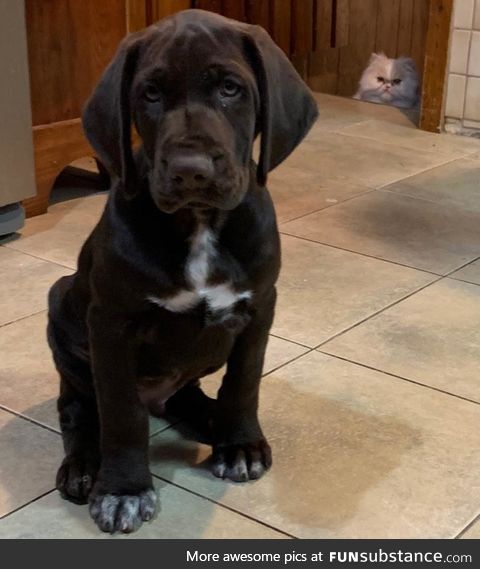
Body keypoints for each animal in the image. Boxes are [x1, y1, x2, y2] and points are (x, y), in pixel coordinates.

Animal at [47, 8, 318, 532]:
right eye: (150, 94)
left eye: (231, 88)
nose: (191, 169)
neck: (199, 223)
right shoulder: (111, 322)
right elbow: (121, 413)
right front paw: (124, 490)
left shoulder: (260, 306)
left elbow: (244, 381)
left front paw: (240, 444)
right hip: (61, 307)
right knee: (78, 407)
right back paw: (85, 465)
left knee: (189, 394)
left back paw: (212, 420)